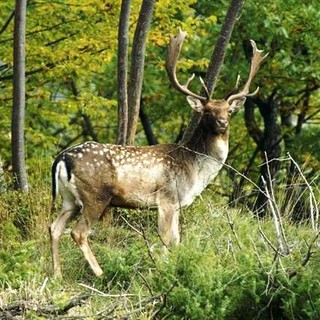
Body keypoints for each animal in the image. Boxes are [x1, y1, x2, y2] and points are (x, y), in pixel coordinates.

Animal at [48, 29, 268, 276]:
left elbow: (177, 240)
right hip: (95, 195)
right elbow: (165, 239)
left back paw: (57, 274)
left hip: (69, 199)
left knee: (54, 227)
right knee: (78, 232)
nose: (222, 123)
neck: (195, 169)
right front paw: (162, 269)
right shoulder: (167, 198)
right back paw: (100, 273)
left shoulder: (178, 204)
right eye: (208, 111)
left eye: (229, 111)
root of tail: (62, 158)